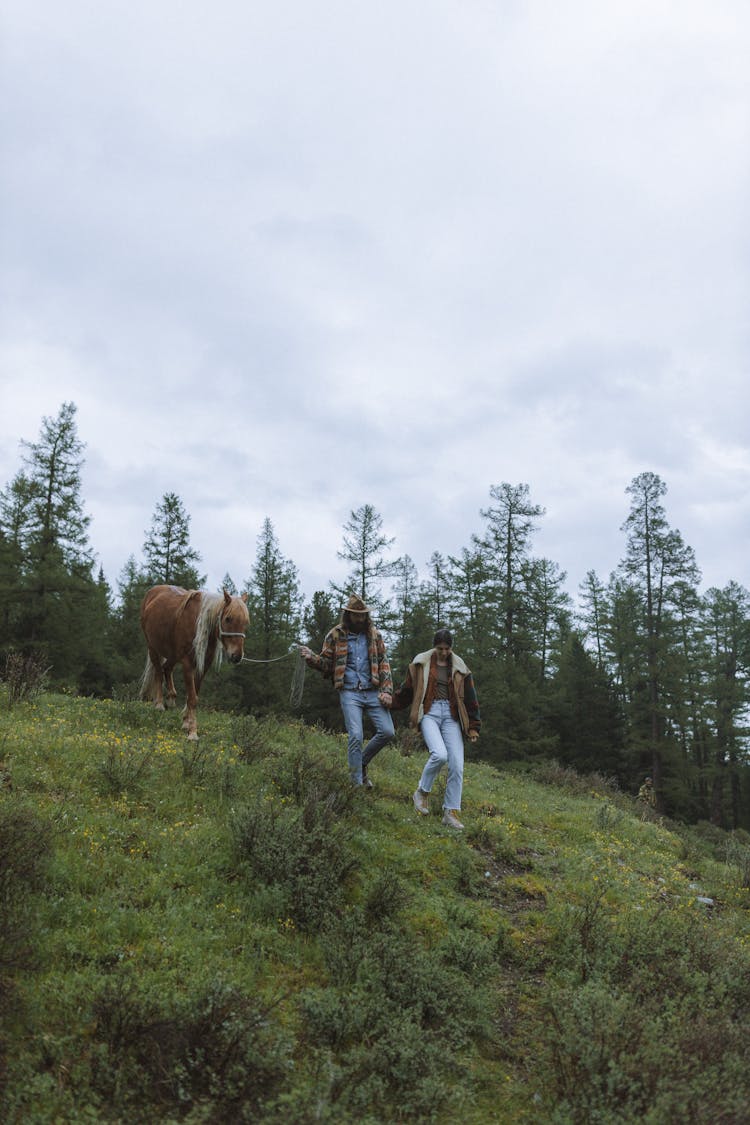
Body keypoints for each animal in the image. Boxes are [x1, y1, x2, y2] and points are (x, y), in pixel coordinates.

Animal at [137, 589, 249, 738]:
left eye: (246, 622)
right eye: (228, 619)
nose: (236, 656)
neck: (199, 625)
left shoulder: (203, 666)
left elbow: (193, 695)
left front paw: (186, 722)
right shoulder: (187, 664)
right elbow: (192, 698)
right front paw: (193, 732)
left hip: (173, 654)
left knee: (166, 668)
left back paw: (171, 697)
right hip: (153, 648)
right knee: (159, 673)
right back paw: (159, 704)